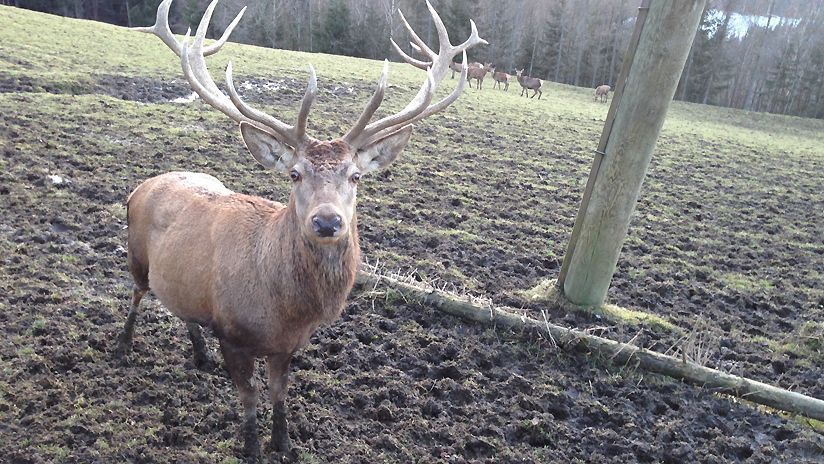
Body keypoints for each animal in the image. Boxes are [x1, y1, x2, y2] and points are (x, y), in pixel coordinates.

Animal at [119, 0, 486, 458]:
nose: (327, 220)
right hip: (136, 254)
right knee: (137, 293)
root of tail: (142, 185)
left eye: (355, 176)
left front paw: (285, 444)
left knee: (183, 308)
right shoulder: (232, 333)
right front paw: (252, 448)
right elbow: (249, 397)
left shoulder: (289, 345)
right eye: (294, 174)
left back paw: (200, 357)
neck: (283, 310)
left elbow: (280, 394)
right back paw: (124, 345)